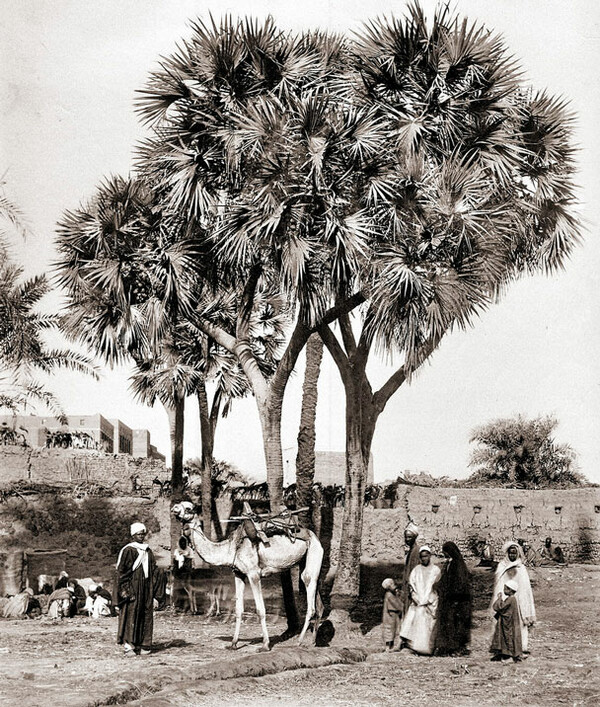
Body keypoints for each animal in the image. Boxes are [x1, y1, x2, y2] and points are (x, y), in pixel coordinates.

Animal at [172, 500, 324, 648]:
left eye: (189, 508)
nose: (174, 508)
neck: (231, 548)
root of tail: (314, 536)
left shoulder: (253, 573)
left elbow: (260, 610)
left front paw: (265, 644)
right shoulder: (239, 573)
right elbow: (238, 609)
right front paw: (233, 643)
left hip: (314, 553)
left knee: (310, 599)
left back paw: (300, 641)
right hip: (307, 561)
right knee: (319, 603)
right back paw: (313, 641)